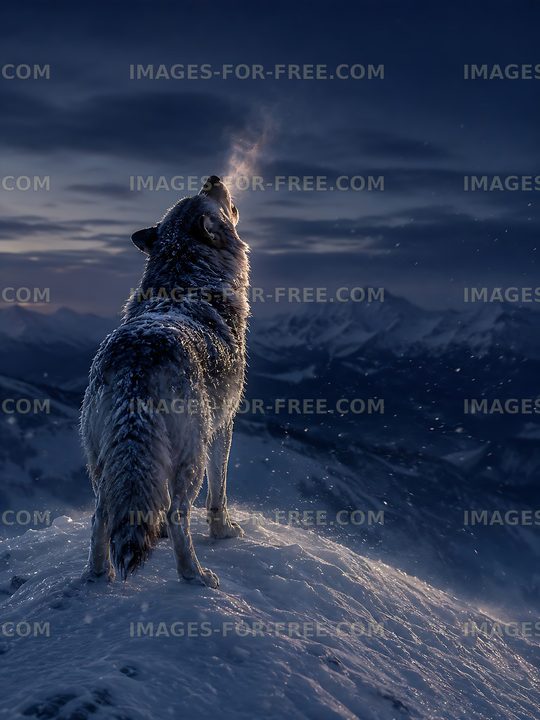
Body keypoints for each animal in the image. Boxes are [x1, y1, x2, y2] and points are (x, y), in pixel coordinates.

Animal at [80, 176, 249, 588]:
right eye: (208, 198)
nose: (213, 178)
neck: (186, 279)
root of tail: (136, 365)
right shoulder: (225, 424)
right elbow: (219, 494)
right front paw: (224, 533)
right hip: (190, 458)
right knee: (176, 515)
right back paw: (196, 576)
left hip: (102, 464)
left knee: (99, 518)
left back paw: (99, 576)